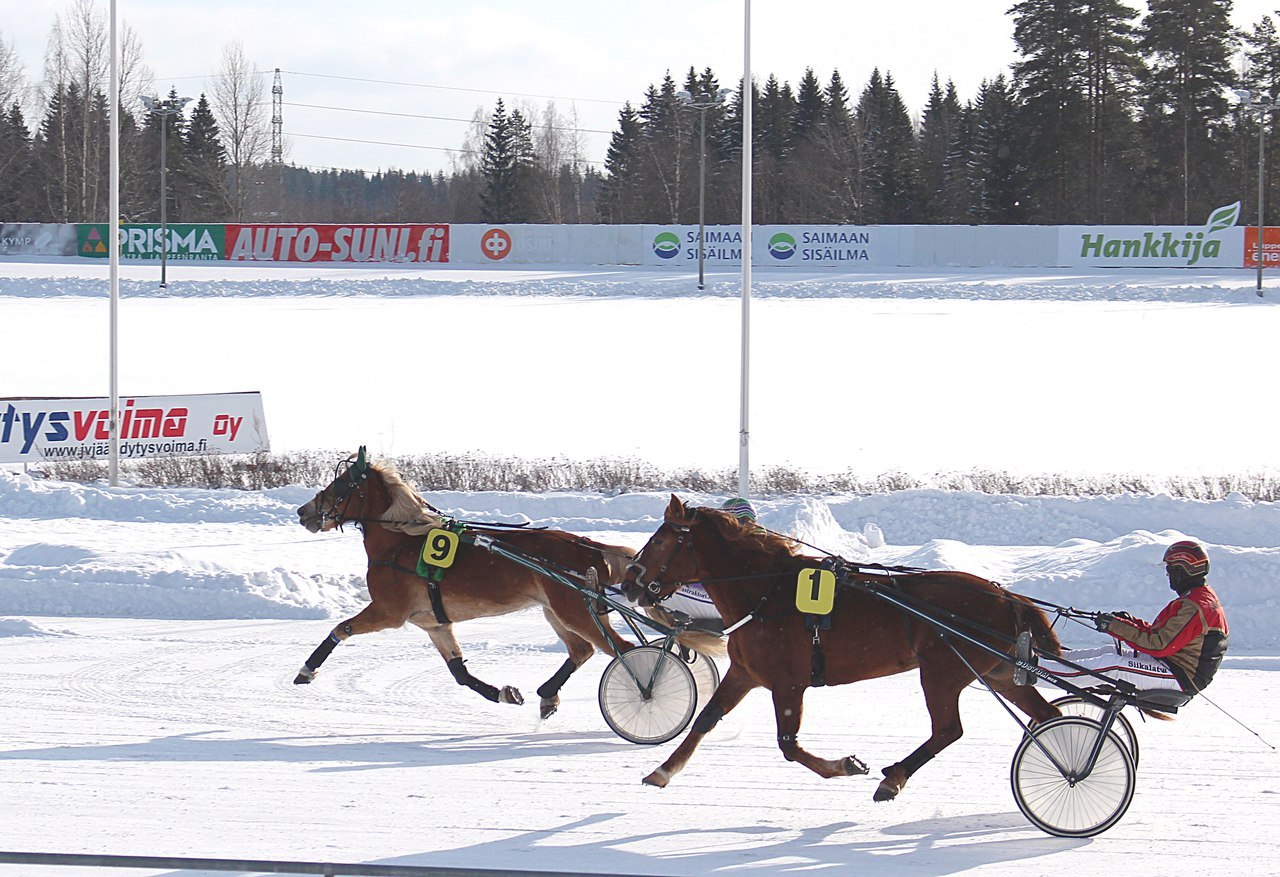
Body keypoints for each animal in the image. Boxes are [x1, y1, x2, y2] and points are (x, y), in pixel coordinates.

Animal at [619, 496, 1059, 798]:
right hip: (999, 675)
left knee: (948, 729)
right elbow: (705, 720)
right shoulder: (745, 672)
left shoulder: (788, 684)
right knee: (1046, 715)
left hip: (942, 673)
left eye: (659, 541)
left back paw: (893, 777)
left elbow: (788, 745)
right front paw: (662, 771)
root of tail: (1007, 597)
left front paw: (846, 765)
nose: (627, 583)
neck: (766, 590)